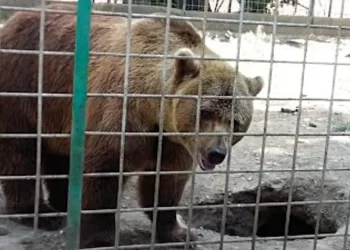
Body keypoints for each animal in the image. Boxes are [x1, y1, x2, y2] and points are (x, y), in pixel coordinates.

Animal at [0, 2, 262, 249]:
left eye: (235, 121)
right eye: (205, 112)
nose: (216, 152)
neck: (155, 110)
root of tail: (14, 19)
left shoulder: (174, 142)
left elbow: (167, 183)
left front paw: (179, 233)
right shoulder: (124, 115)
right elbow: (104, 173)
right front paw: (99, 237)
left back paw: (63, 201)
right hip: (25, 82)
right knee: (20, 152)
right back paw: (39, 212)